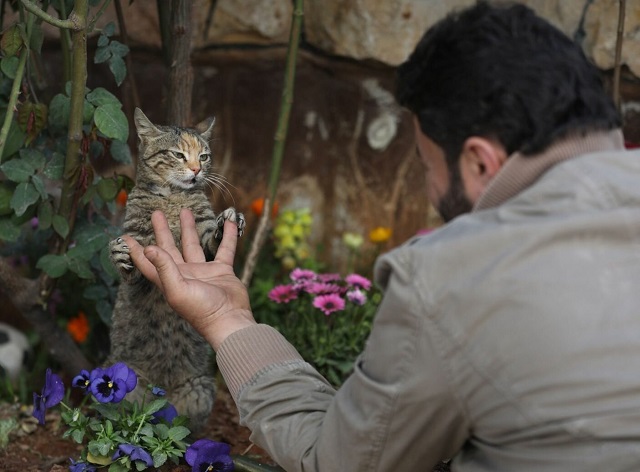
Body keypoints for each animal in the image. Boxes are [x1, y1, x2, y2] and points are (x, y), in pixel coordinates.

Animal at [109, 109, 244, 434]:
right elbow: (130, 268)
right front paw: (119, 254)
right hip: (127, 385)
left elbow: (212, 238)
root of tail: (162, 393)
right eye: (177, 154)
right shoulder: (137, 239)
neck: (173, 196)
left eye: (204, 156)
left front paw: (227, 223)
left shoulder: (203, 240)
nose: (196, 169)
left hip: (199, 389)